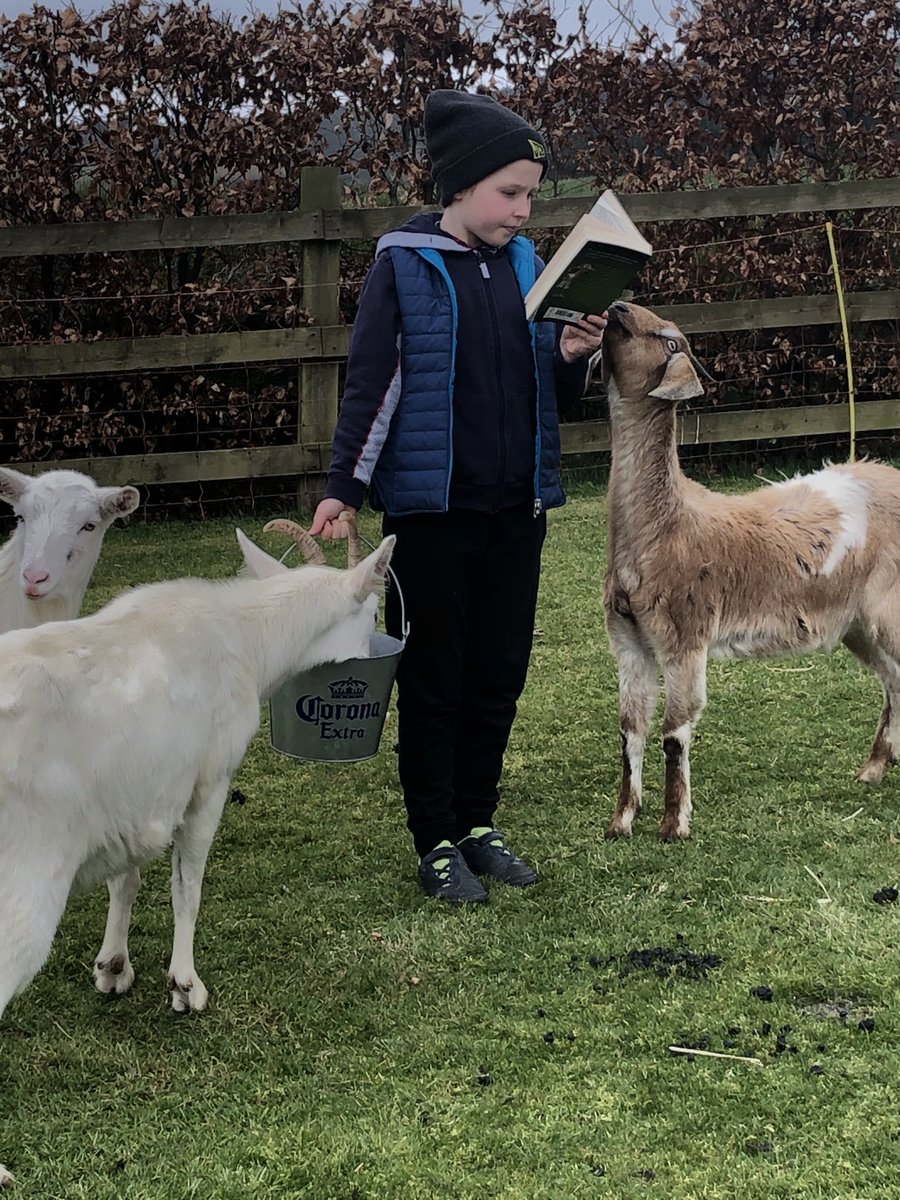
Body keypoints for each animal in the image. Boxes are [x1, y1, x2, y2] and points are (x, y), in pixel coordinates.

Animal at [0, 527, 394, 1029]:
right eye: (375, 612)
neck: (243, 634)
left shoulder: (133, 793)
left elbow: (125, 880)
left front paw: (113, 968)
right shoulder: (209, 781)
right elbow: (188, 885)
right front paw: (185, 986)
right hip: (24, 884)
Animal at [601, 301, 900, 841]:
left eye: (669, 339)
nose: (615, 308)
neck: (665, 526)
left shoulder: (685, 638)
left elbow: (674, 733)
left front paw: (674, 824)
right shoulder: (629, 641)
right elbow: (630, 731)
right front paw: (621, 821)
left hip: (888, 607)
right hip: (856, 623)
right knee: (893, 679)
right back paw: (873, 768)